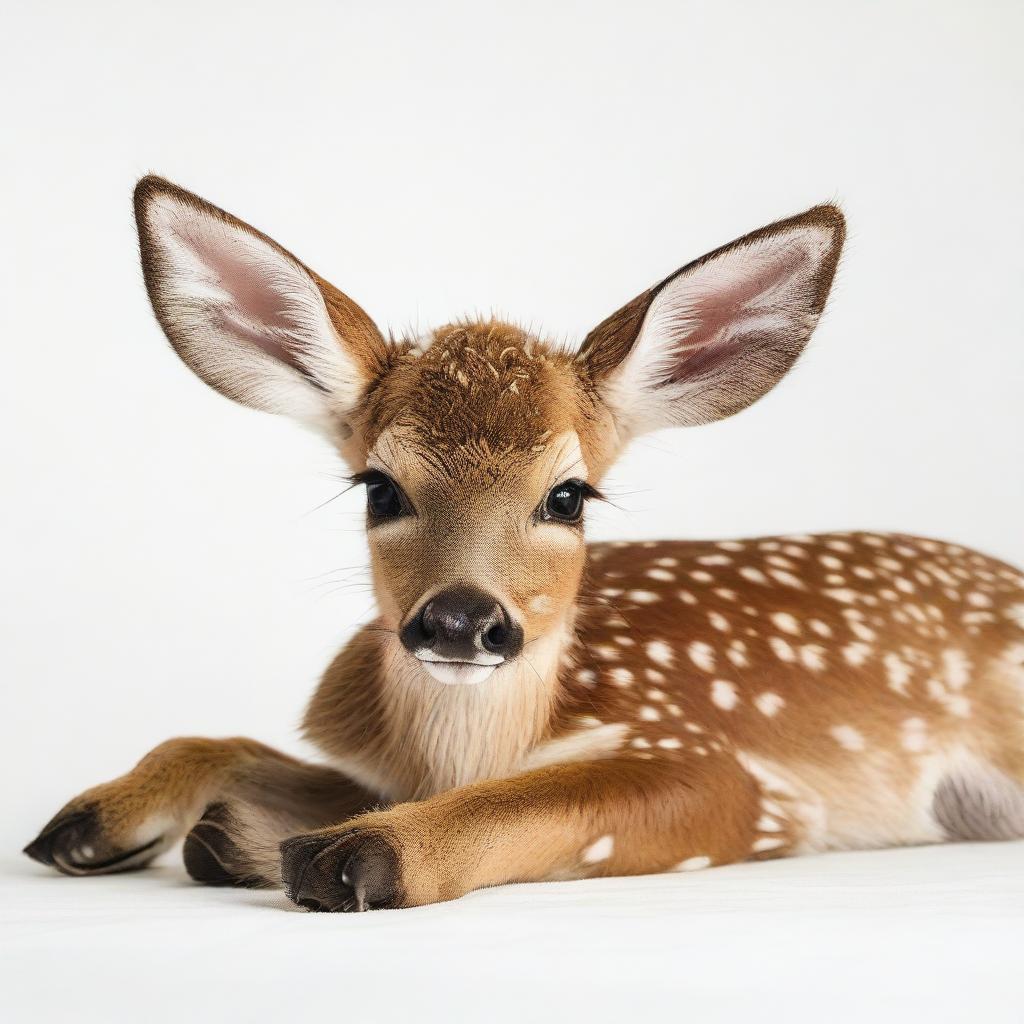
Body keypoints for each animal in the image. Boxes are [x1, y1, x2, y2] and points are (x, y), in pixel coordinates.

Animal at [24, 176, 1024, 913]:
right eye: (380, 487)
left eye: (568, 496)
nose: (462, 621)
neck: (474, 751)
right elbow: (228, 739)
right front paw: (102, 819)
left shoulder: (737, 776)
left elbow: (564, 798)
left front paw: (354, 852)